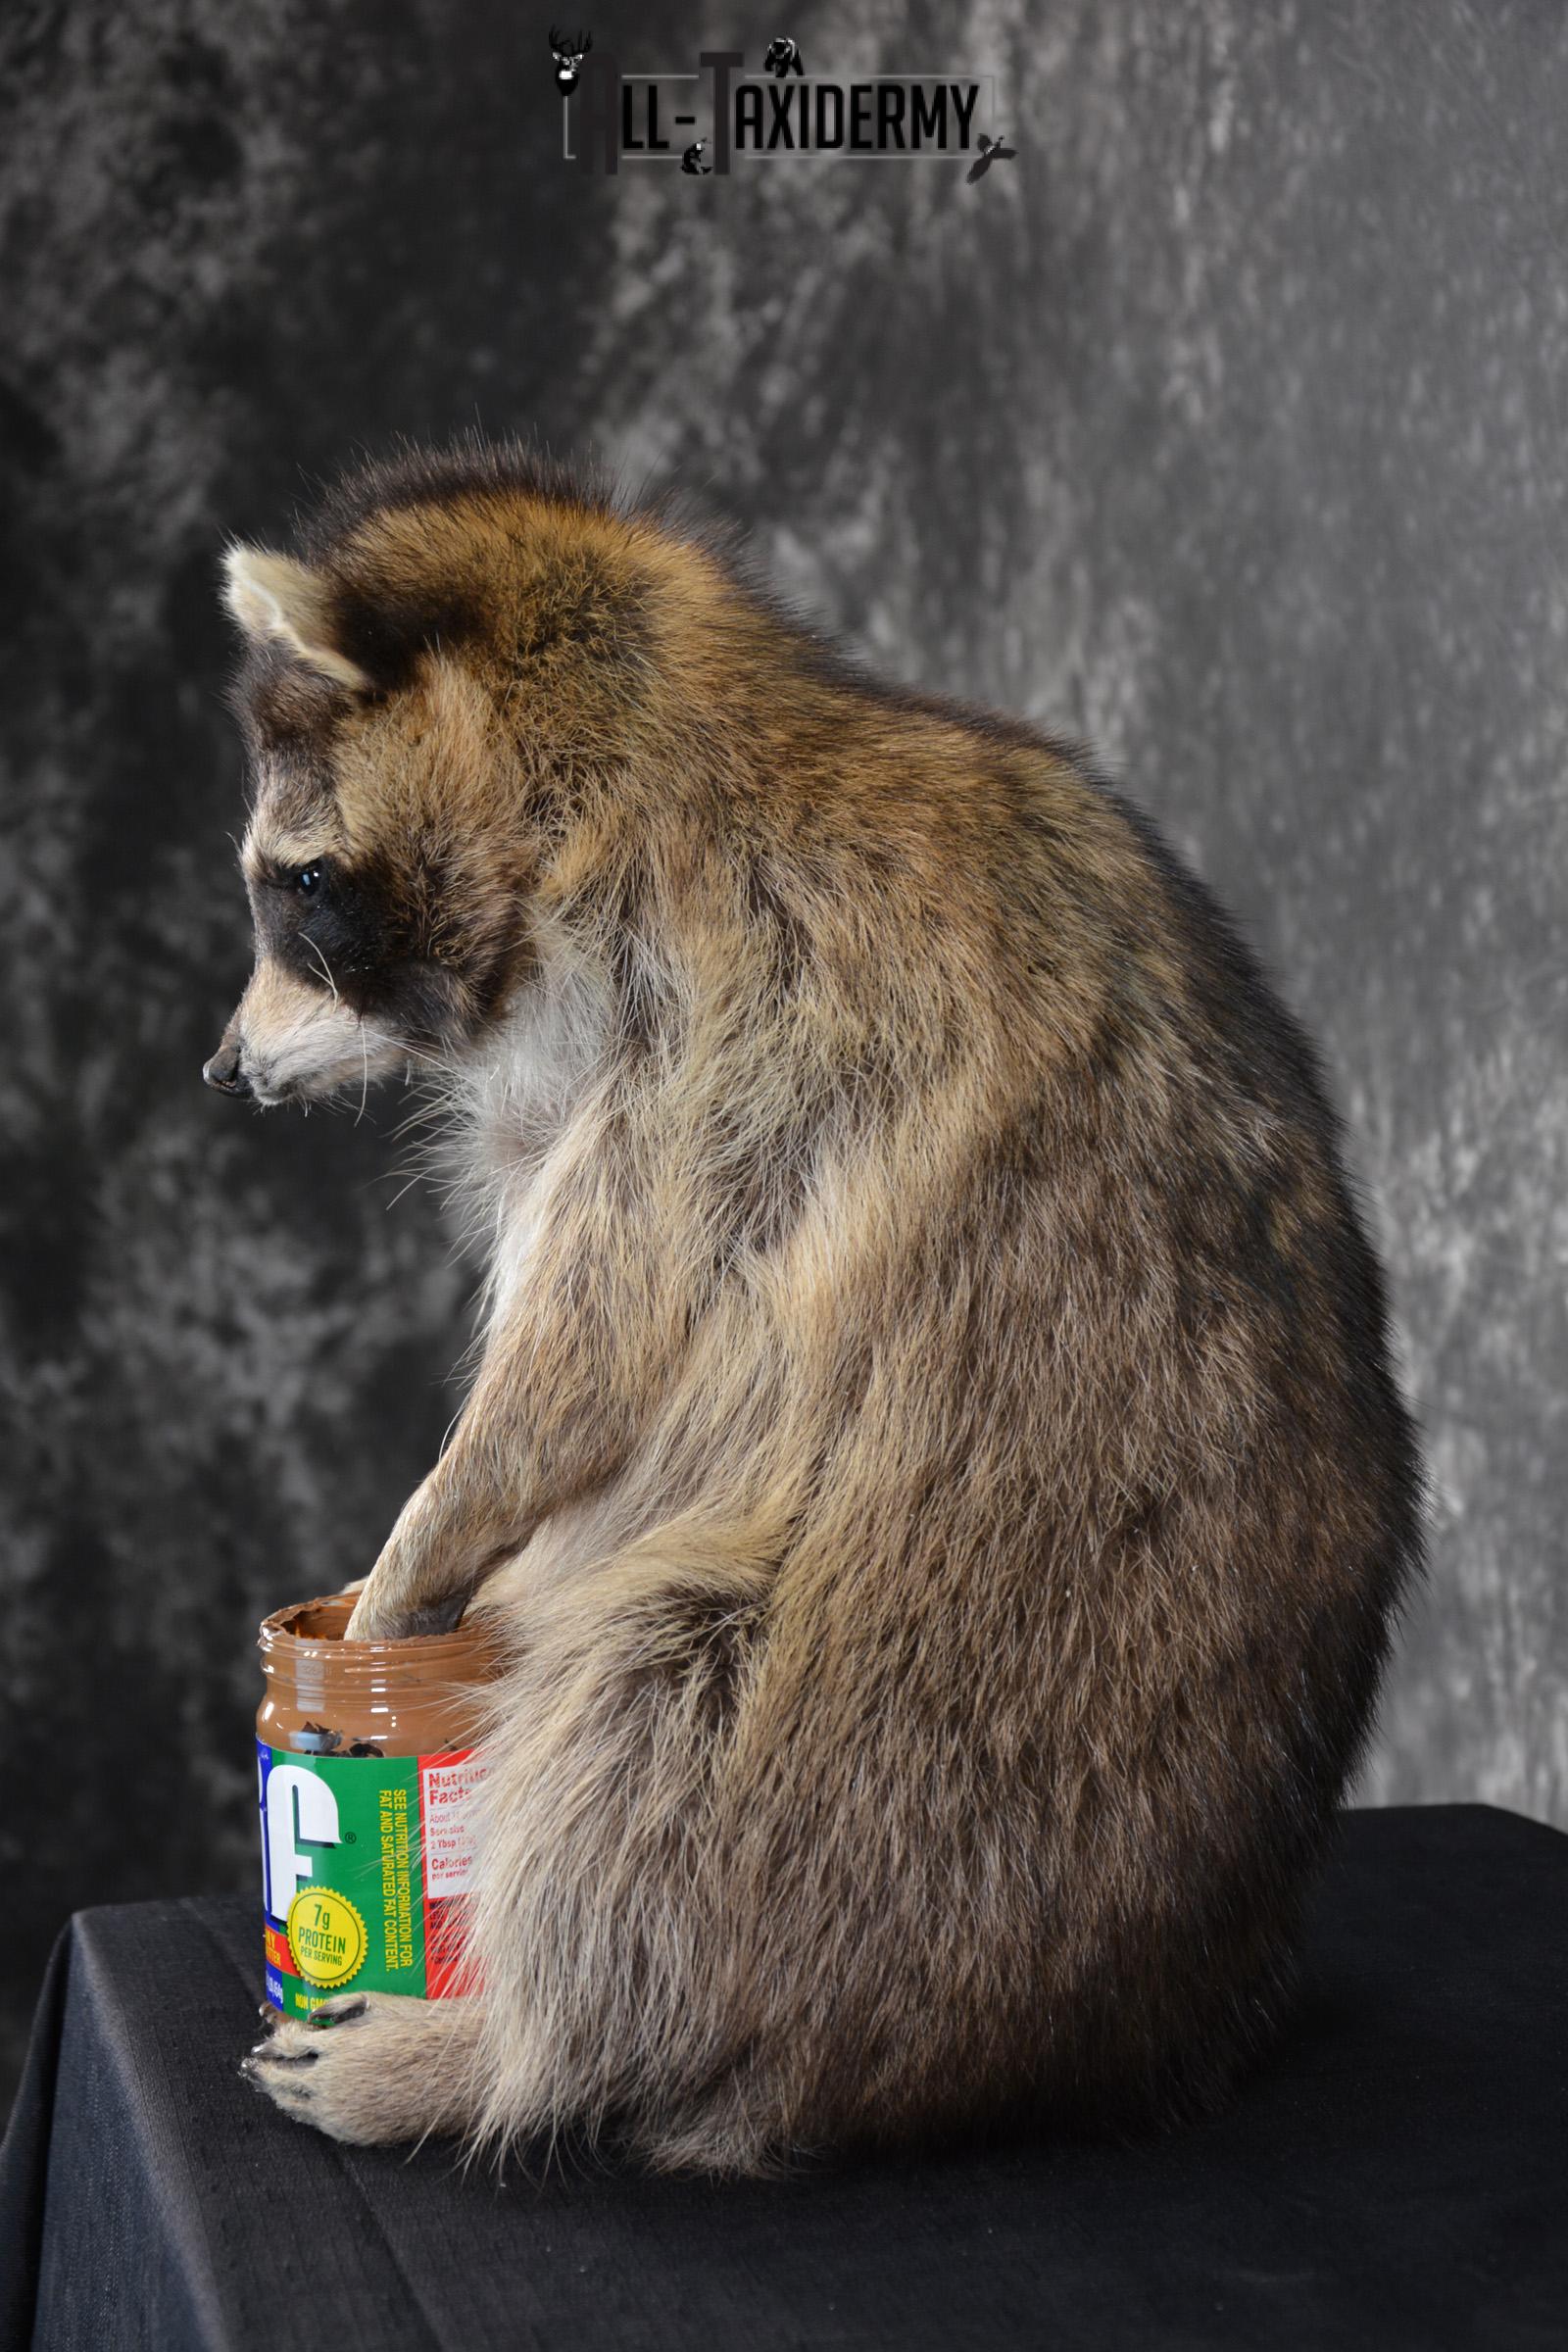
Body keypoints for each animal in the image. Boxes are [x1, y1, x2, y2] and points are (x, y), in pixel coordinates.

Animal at [218, 442, 1422, 2173]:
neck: (650, 734)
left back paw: (512, 2052)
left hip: (887, 1782)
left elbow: (593, 1348)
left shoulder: (725, 1012)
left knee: (645, 1736)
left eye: (295, 887)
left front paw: (413, 1568)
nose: (226, 1067)